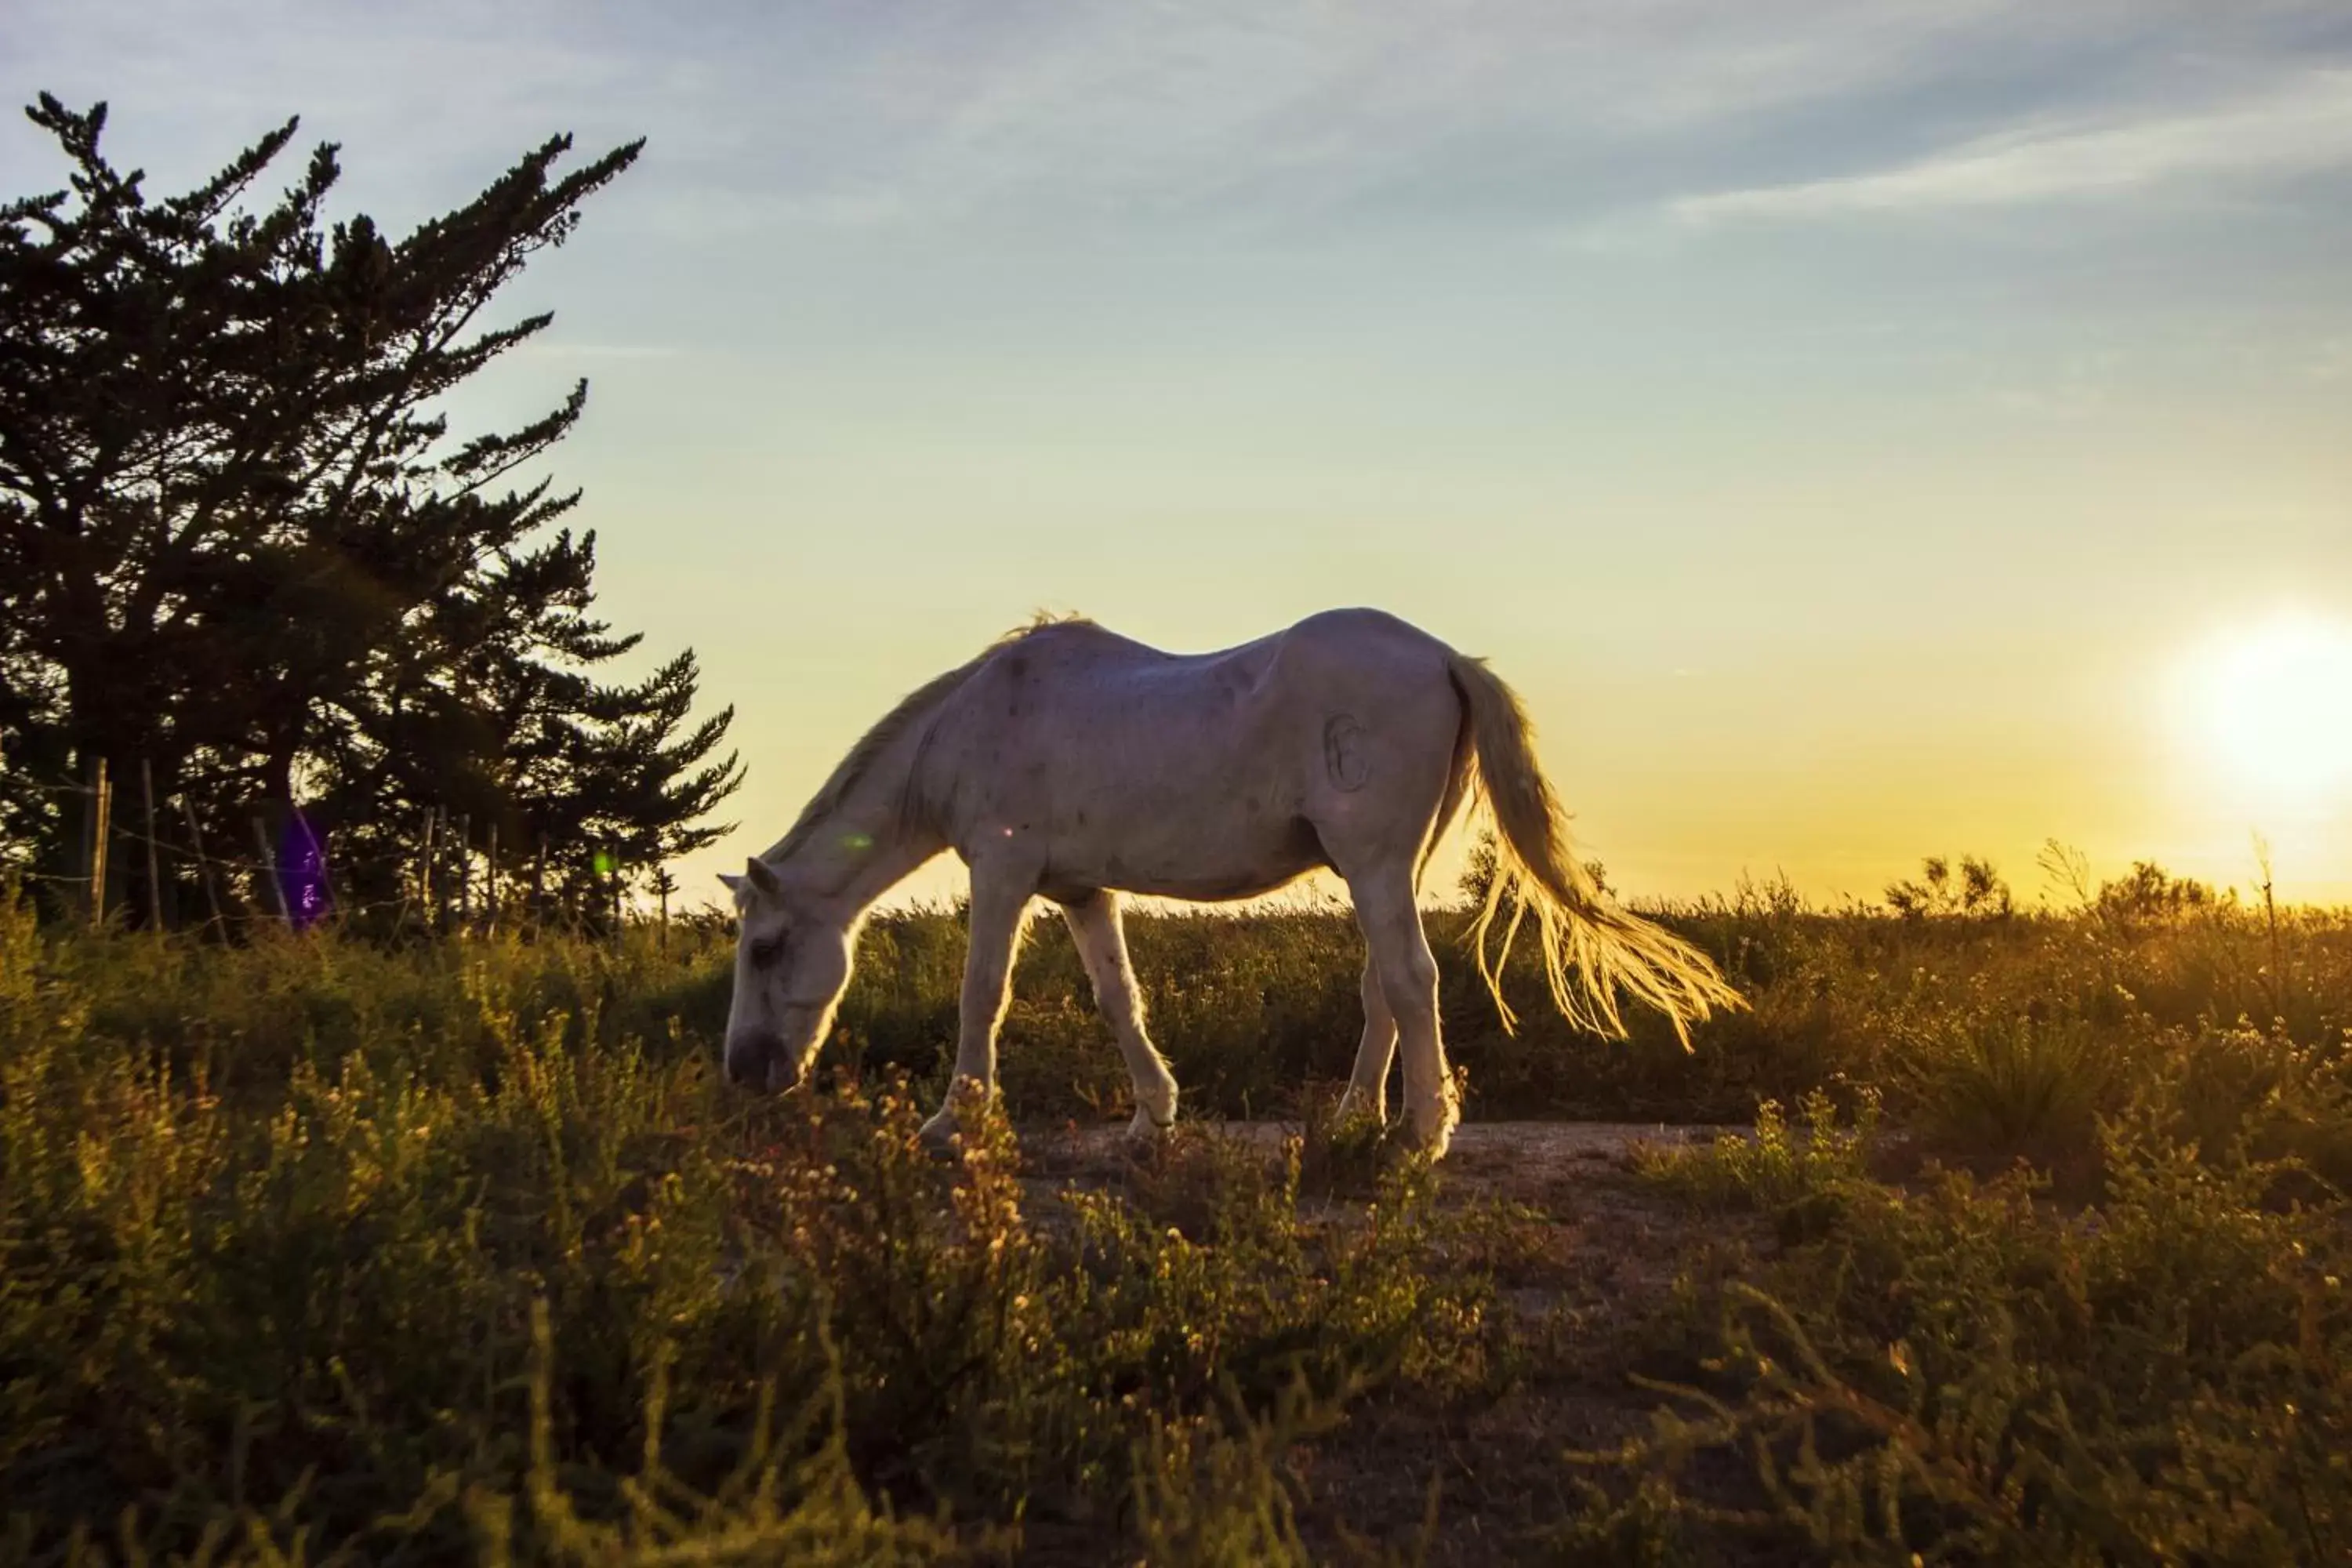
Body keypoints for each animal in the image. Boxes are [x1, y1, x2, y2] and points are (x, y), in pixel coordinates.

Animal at [720, 606, 1750, 1161]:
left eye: (766, 947)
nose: (745, 1073)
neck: (980, 719)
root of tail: (1446, 658)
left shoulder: (1003, 873)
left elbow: (982, 994)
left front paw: (951, 1120)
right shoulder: (1082, 892)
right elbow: (1118, 998)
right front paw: (1151, 1117)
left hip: (1376, 865)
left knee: (1412, 980)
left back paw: (1421, 1134)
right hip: (1390, 869)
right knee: (1384, 988)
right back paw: (1356, 1119)